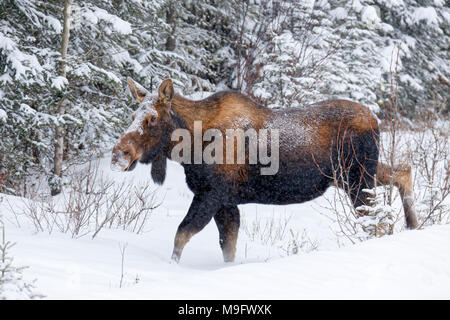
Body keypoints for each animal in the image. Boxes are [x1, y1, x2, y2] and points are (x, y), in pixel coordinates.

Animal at [111, 77, 418, 262]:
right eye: (132, 115)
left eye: (152, 118)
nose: (118, 154)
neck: (190, 146)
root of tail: (376, 120)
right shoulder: (227, 201)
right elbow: (227, 246)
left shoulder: (211, 194)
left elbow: (181, 235)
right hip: (353, 175)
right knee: (404, 170)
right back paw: (414, 225)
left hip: (357, 177)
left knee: (377, 220)